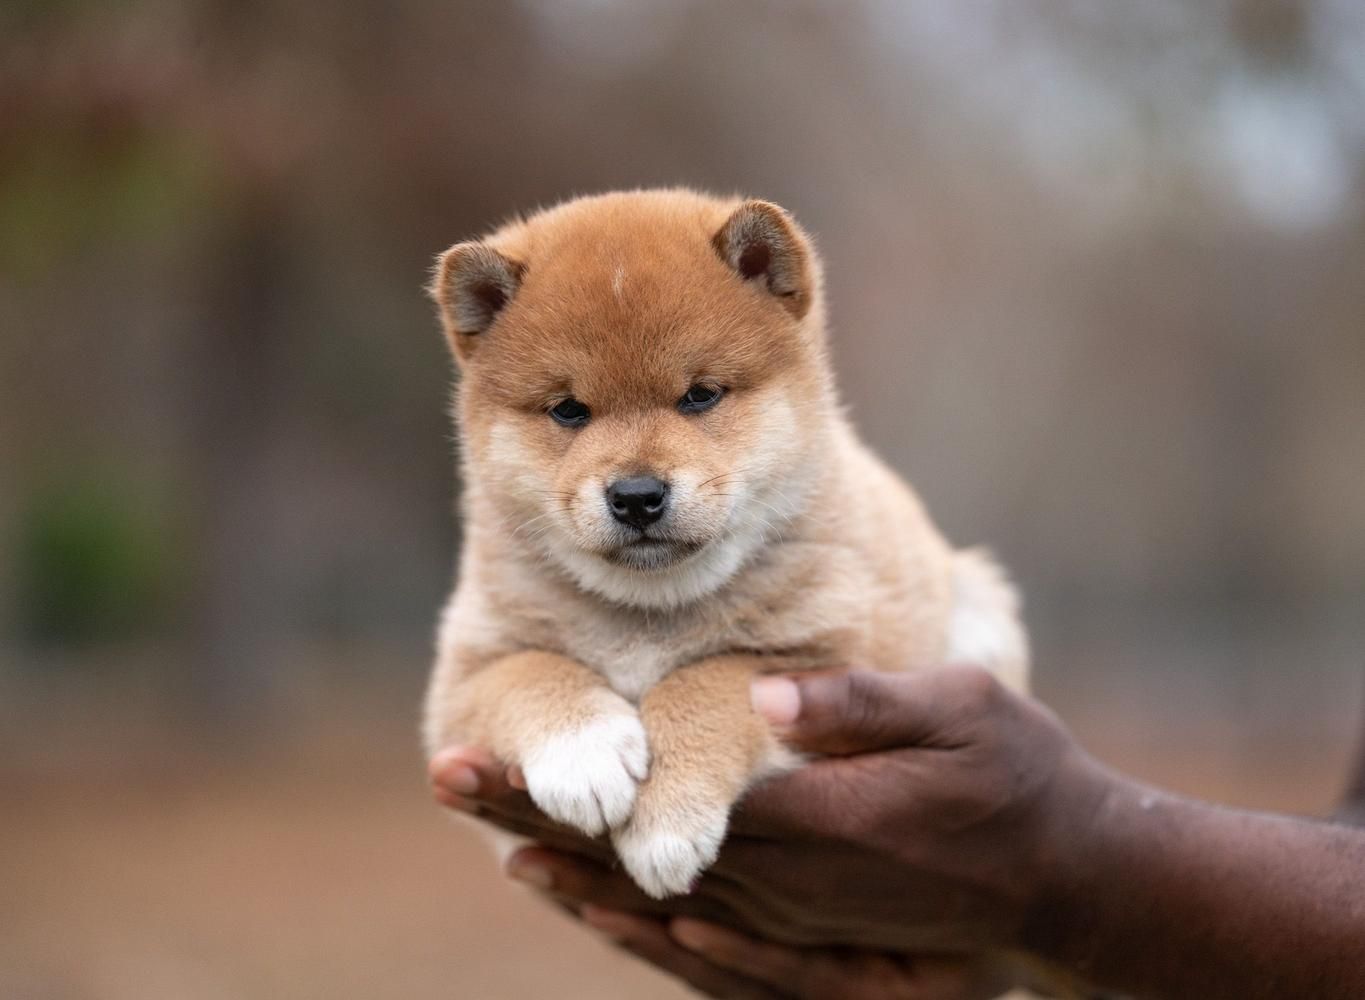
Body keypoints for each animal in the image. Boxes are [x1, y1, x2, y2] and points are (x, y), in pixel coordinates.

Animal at [420, 186, 1026, 894]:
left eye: (700, 395)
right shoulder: (459, 681)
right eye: (569, 410)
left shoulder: (819, 662)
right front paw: (583, 755)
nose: (636, 495)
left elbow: (708, 682)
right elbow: (527, 672)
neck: (650, 612)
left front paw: (665, 825)